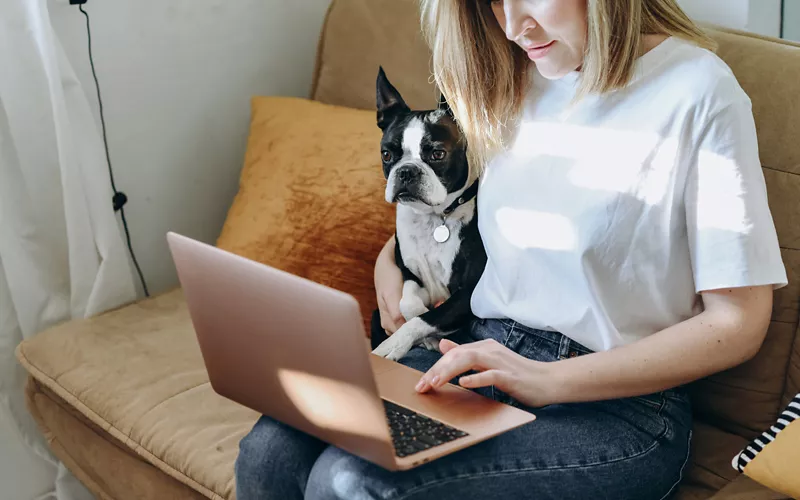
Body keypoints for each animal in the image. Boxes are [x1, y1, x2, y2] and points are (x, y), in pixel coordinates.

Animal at [370, 68, 488, 362]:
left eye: (437, 153)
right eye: (386, 154)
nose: (407, 171)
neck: (434, 217)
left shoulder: (469, 295)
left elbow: (423, 319)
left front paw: (395, 344)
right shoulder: (410, 274)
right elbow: (409, 304)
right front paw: (429, 338)